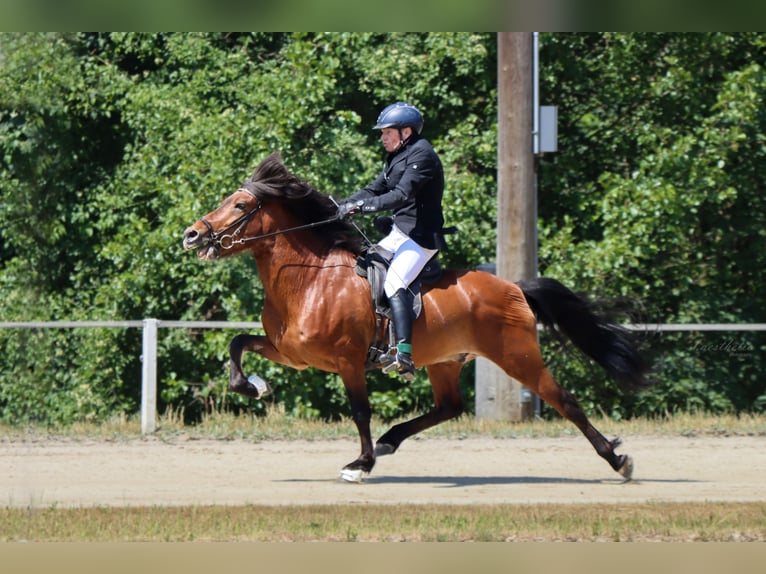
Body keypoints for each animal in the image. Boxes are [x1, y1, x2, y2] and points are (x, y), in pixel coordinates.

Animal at [183, 152, 652, 482]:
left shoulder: (347, 361)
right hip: (446, 361)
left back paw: (618, 460)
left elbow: (360, 412)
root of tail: (514, 286)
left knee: (564, 400)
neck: (311, 278)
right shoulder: (291, 353)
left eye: (240, 204)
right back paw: (391, 441)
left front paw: (360, 465)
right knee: (449, 407)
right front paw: (254, 386)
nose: (192, 235)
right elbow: (237, 344)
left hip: (517, 356)